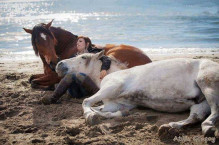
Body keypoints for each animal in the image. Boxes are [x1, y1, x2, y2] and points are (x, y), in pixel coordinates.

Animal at [23, 19, 151, 89]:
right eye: (37, 42)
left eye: (51, 38)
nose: (54, 61)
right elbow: (31, 78)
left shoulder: (55, 76)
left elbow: (33, 82)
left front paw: (49, 87)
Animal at [55, 51, 219, 137]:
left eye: (83, 57)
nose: (59, 64)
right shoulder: (115, 104)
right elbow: (107, 111)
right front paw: (111, 114)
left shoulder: (111, 87)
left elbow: (87, 102)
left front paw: (90, 116)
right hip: (200, 102)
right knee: (196, 117)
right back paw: (169, 127)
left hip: (208, 86)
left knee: (214, 112)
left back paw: (207, 128)